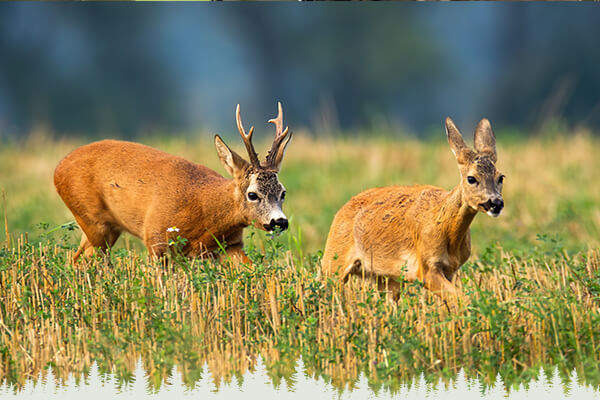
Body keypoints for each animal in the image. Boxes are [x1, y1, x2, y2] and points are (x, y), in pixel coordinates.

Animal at [54, 101, 292, 260]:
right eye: (252, 194)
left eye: (283, 192)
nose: (280, 221)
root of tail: (58, 169)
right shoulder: (156, 239)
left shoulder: (230, 244)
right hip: (93, 221)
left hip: (105, 228)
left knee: (78, 259)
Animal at [322, 117, 504, 298]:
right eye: (471, 178)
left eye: (501, 177)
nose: (496, 203)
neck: (448, 231)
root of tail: (341, 211)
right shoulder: (426, 268)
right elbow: (462, 298)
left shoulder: (450, 270)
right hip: (333, 262)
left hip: (387, 279)